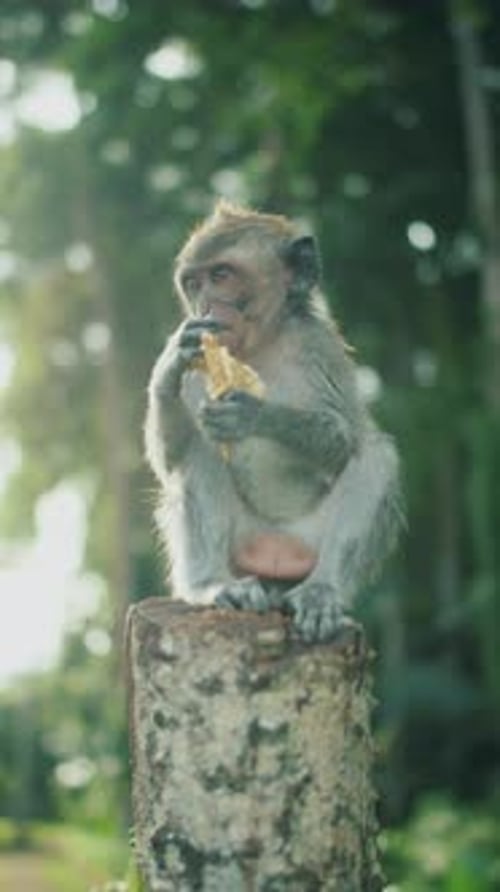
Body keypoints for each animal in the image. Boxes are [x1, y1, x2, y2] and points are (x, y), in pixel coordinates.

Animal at [144, 200, 403, 643]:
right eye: (193, 283)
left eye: (221, 275)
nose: (206, 308)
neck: (261, 344)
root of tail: (277, 558)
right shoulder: (201, 365)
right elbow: (169, 460)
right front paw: (170, 365)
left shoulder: (318, 345)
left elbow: (343, 440)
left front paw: (252, 414)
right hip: (242, 547)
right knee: (200, 450)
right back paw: (212, 585)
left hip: (312, 542)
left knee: (376, 457)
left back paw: (322, 591)